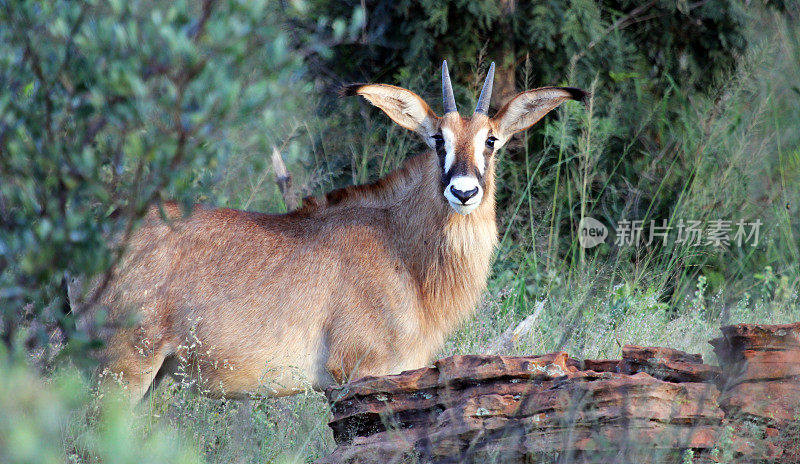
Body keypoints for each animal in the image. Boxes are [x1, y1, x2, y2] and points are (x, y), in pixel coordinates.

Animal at [87, 60, 588, 402]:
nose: (463, 192)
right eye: (436, 139)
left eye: (491, 140)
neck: (402, 252)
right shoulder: (358, 373)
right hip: (124, 368)